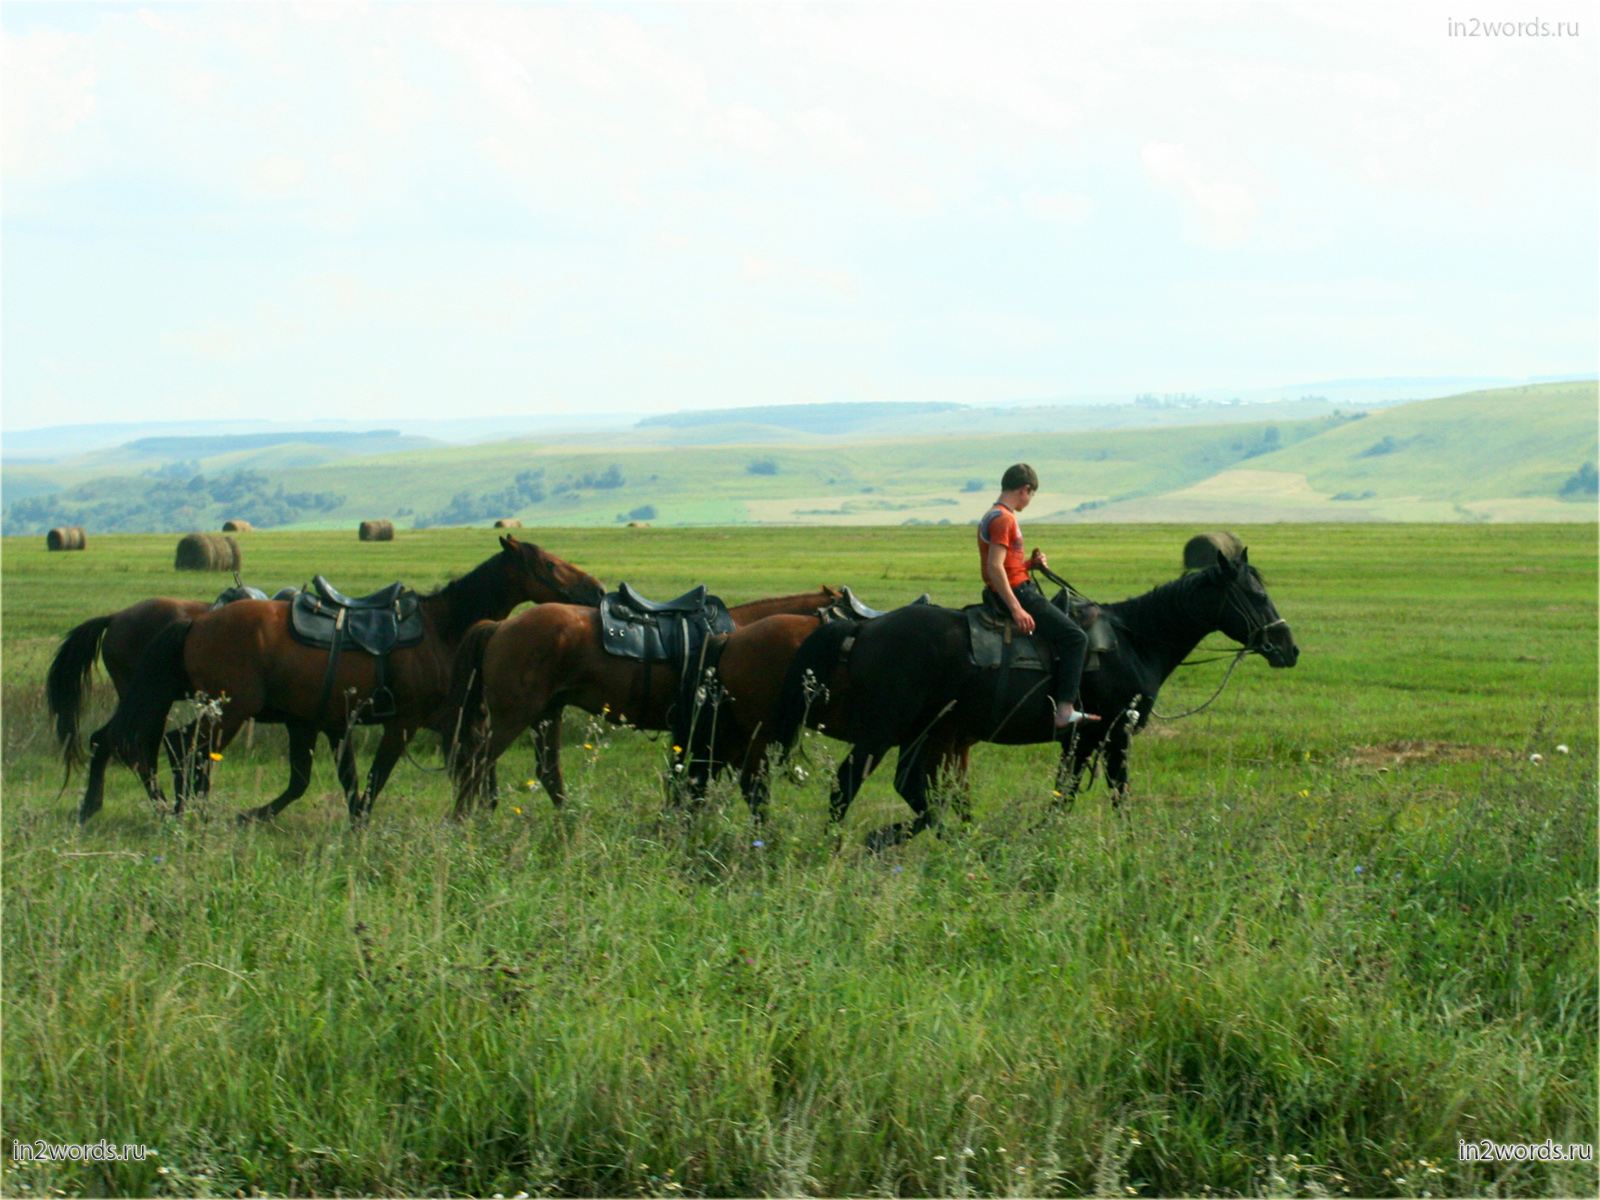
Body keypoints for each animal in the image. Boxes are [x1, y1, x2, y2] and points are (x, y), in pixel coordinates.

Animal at [76, 537, 601, 825]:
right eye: (549, 564)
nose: (594, 588)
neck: (442, 628)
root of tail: (194, 623)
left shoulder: (336, 723)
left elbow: (338, 779)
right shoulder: (402, 723)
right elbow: (375, 777)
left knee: (150, 745)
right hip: (227, 711)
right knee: (172, 747)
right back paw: (173, 809)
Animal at [448, 588, 851, 812]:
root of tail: (500, 626)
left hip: (547, 713)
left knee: (547, 773)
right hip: (514, 716)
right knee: (475, 766)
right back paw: (460, 826)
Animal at [771, 550, 1299, 851]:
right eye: (1255, 594)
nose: (1288, 647)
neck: (1135, 640)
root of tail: (864, 628)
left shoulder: (1087, 739)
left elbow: (1071, 793)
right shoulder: (1106, 733)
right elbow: (1101, 793)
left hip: (921, 730)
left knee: (910, 787)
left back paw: (926, 838)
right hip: (884, 729)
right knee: (846, 784)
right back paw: (838, 847)